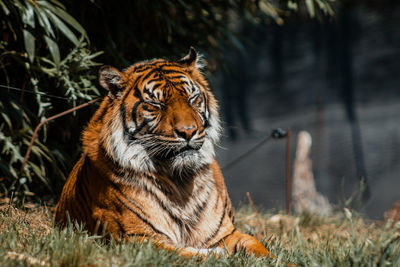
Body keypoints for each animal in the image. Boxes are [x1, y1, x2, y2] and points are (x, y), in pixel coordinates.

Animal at [55, 47, 276, 260]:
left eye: (192, 99)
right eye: (156, 105)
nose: (188, 131)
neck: (181, 183)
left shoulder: (226, 233)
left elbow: (259, 248)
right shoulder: (136, 239)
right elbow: (188, 255)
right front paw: (215, 255)